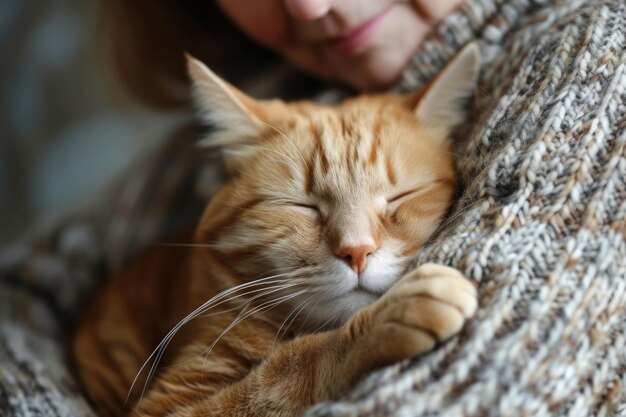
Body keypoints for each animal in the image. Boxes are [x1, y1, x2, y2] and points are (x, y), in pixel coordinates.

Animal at [73, 43, 480, 416]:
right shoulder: (171, 404)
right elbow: (285, 371)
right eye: (303, 206)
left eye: (400, 197)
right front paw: (390, 317)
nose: (357, 251)